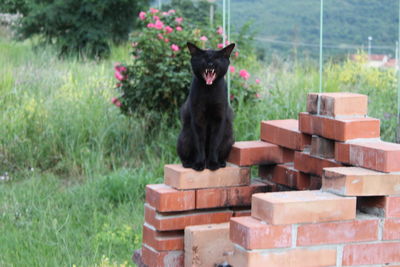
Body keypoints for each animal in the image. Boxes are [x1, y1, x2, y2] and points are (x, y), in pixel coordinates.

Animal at [177, 42, 236, 172]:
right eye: (203, 58)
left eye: (216, 58)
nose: (210, 63)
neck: (209, 90)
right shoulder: (198, 118)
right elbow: (200, 143)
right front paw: (199, 164)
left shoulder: (219, 118)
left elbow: (214, 143)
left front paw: (213, 164)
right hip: (184, 137)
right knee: (185, 156)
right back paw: (189, 163)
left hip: (228, 139)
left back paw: (220, 163)